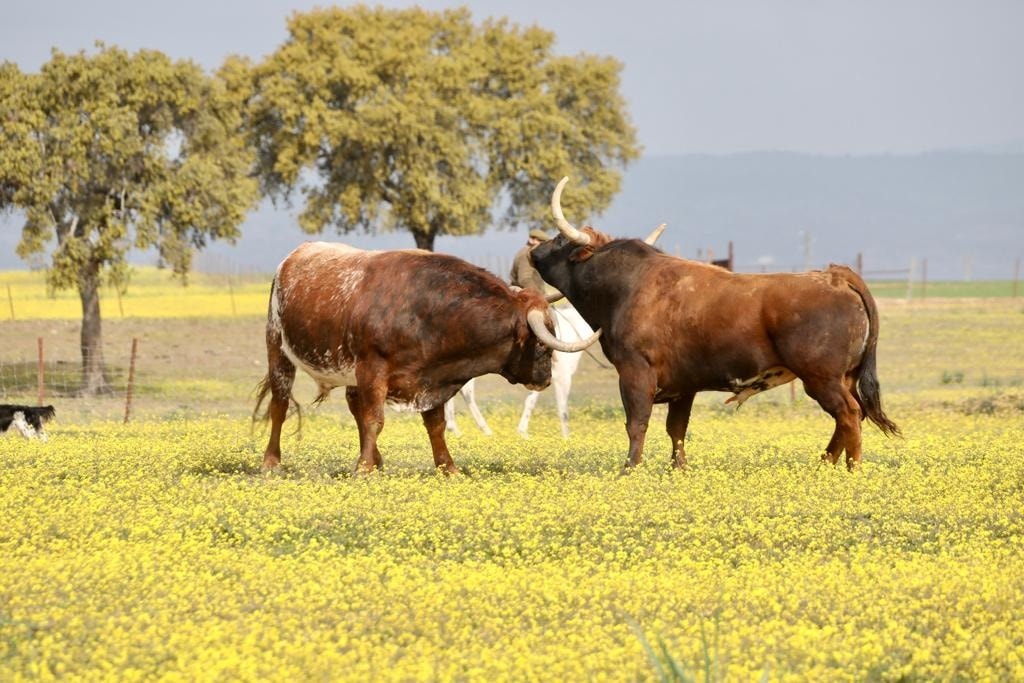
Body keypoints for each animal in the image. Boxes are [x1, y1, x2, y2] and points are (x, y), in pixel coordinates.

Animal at [254, 241, 598, 475]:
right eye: (542, 344)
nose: (546, 379)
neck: (427, 312)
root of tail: (294, 256)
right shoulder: (373, 370)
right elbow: (374, 419)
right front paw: (363, 469)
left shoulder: (433, 378)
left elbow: (435, 425)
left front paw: (448, 468)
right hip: (277, 348)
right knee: (280, 405)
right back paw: (272, 462)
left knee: (352, 405)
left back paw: (375, 459)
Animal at [532, 179, 901, 473]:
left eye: (561, 240)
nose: (533, 247)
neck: (628, 285)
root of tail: (835, 276)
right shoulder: (683, 385)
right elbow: (676, 430)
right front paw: (678, 470)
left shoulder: (635, 373)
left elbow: (637, 424)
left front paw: (629, 470)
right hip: (843, 377)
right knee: (849, 417)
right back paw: (824, 465)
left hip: (822, 378)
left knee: (849, 414)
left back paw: (851, 470)